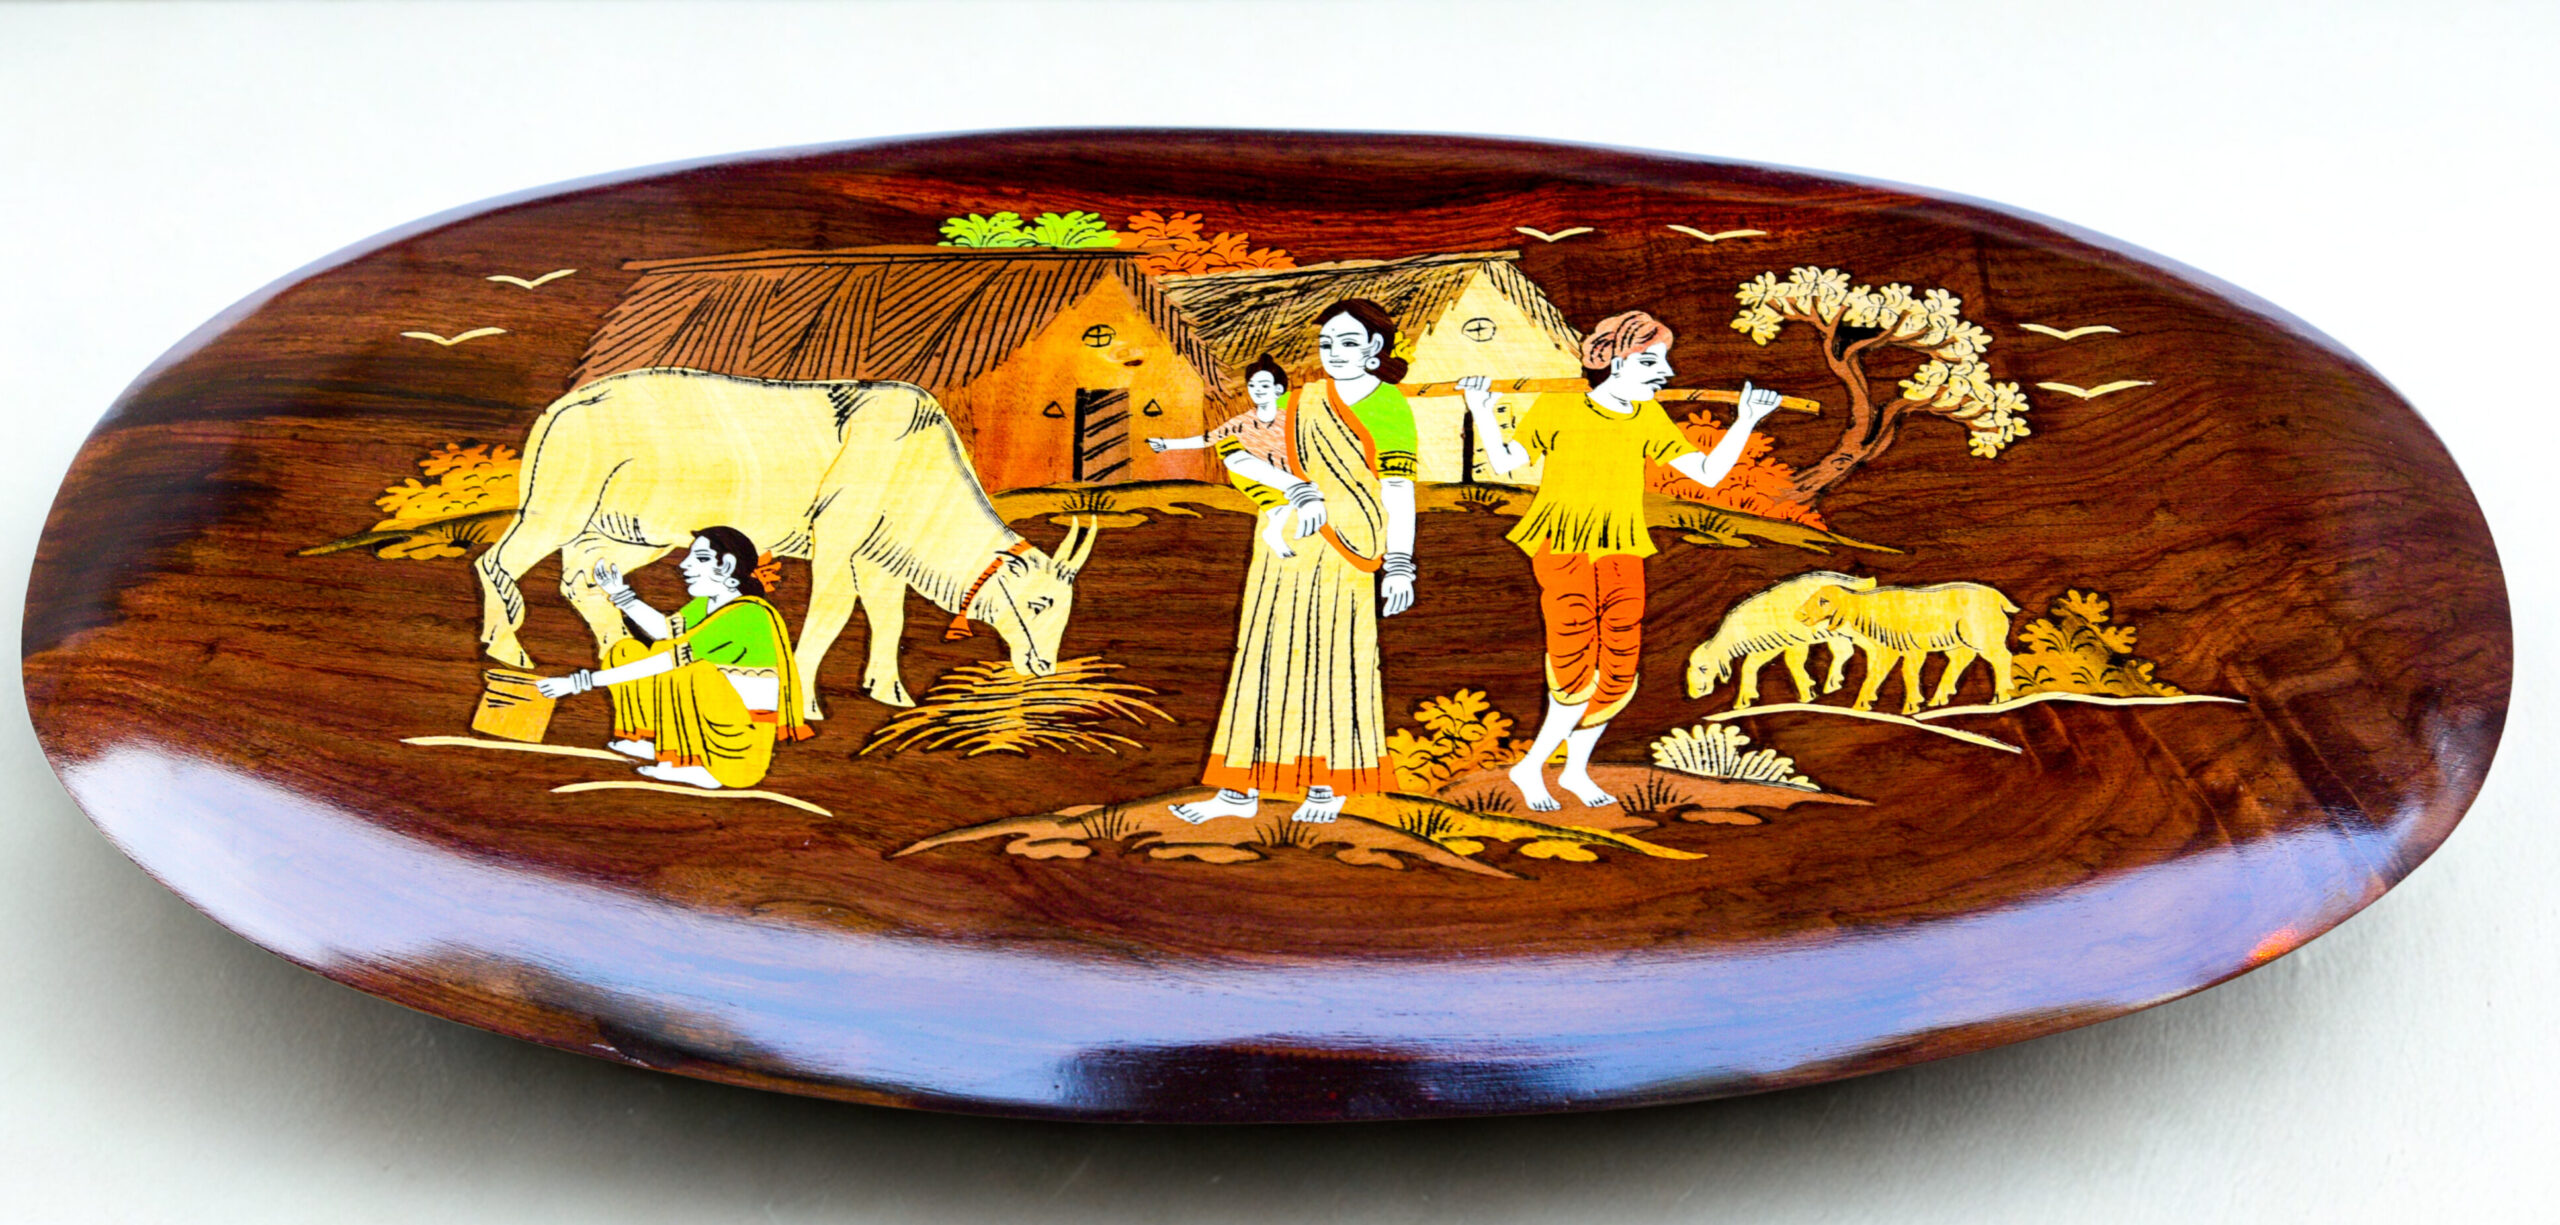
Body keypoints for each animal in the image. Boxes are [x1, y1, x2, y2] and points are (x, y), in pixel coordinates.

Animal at [474, 368, 1096, 718]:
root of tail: (569, 402)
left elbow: (888, 619)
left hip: (628, 532)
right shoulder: (839, 542)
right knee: (497, 562)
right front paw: (809, 702)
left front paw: (888, 691)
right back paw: (507, 649)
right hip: (558, 509)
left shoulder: (879, 560)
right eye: (1039, 603)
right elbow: (830, 614)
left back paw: (615, 648)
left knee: (581, 577)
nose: (1043, 665)